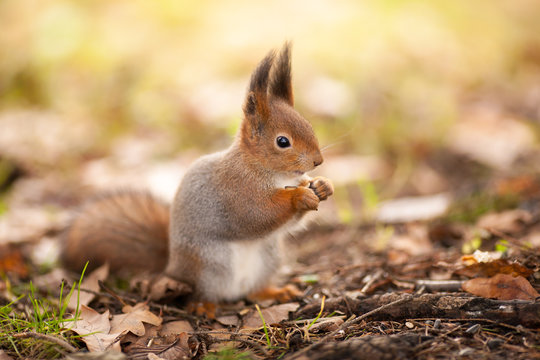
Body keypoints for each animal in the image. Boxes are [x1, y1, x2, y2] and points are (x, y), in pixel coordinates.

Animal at [61, 43, 336, 302]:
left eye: (308, 125)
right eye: (282, 141)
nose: (318, 161)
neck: (273, 173)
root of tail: (171, 266)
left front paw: (323, 186)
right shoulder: (236, 191)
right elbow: (257, 214)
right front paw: (299, 196)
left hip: (268, 257)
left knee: (254, 291)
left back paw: (274, 292)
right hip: (206, 265)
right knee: (202, 293)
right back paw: (205, 306)